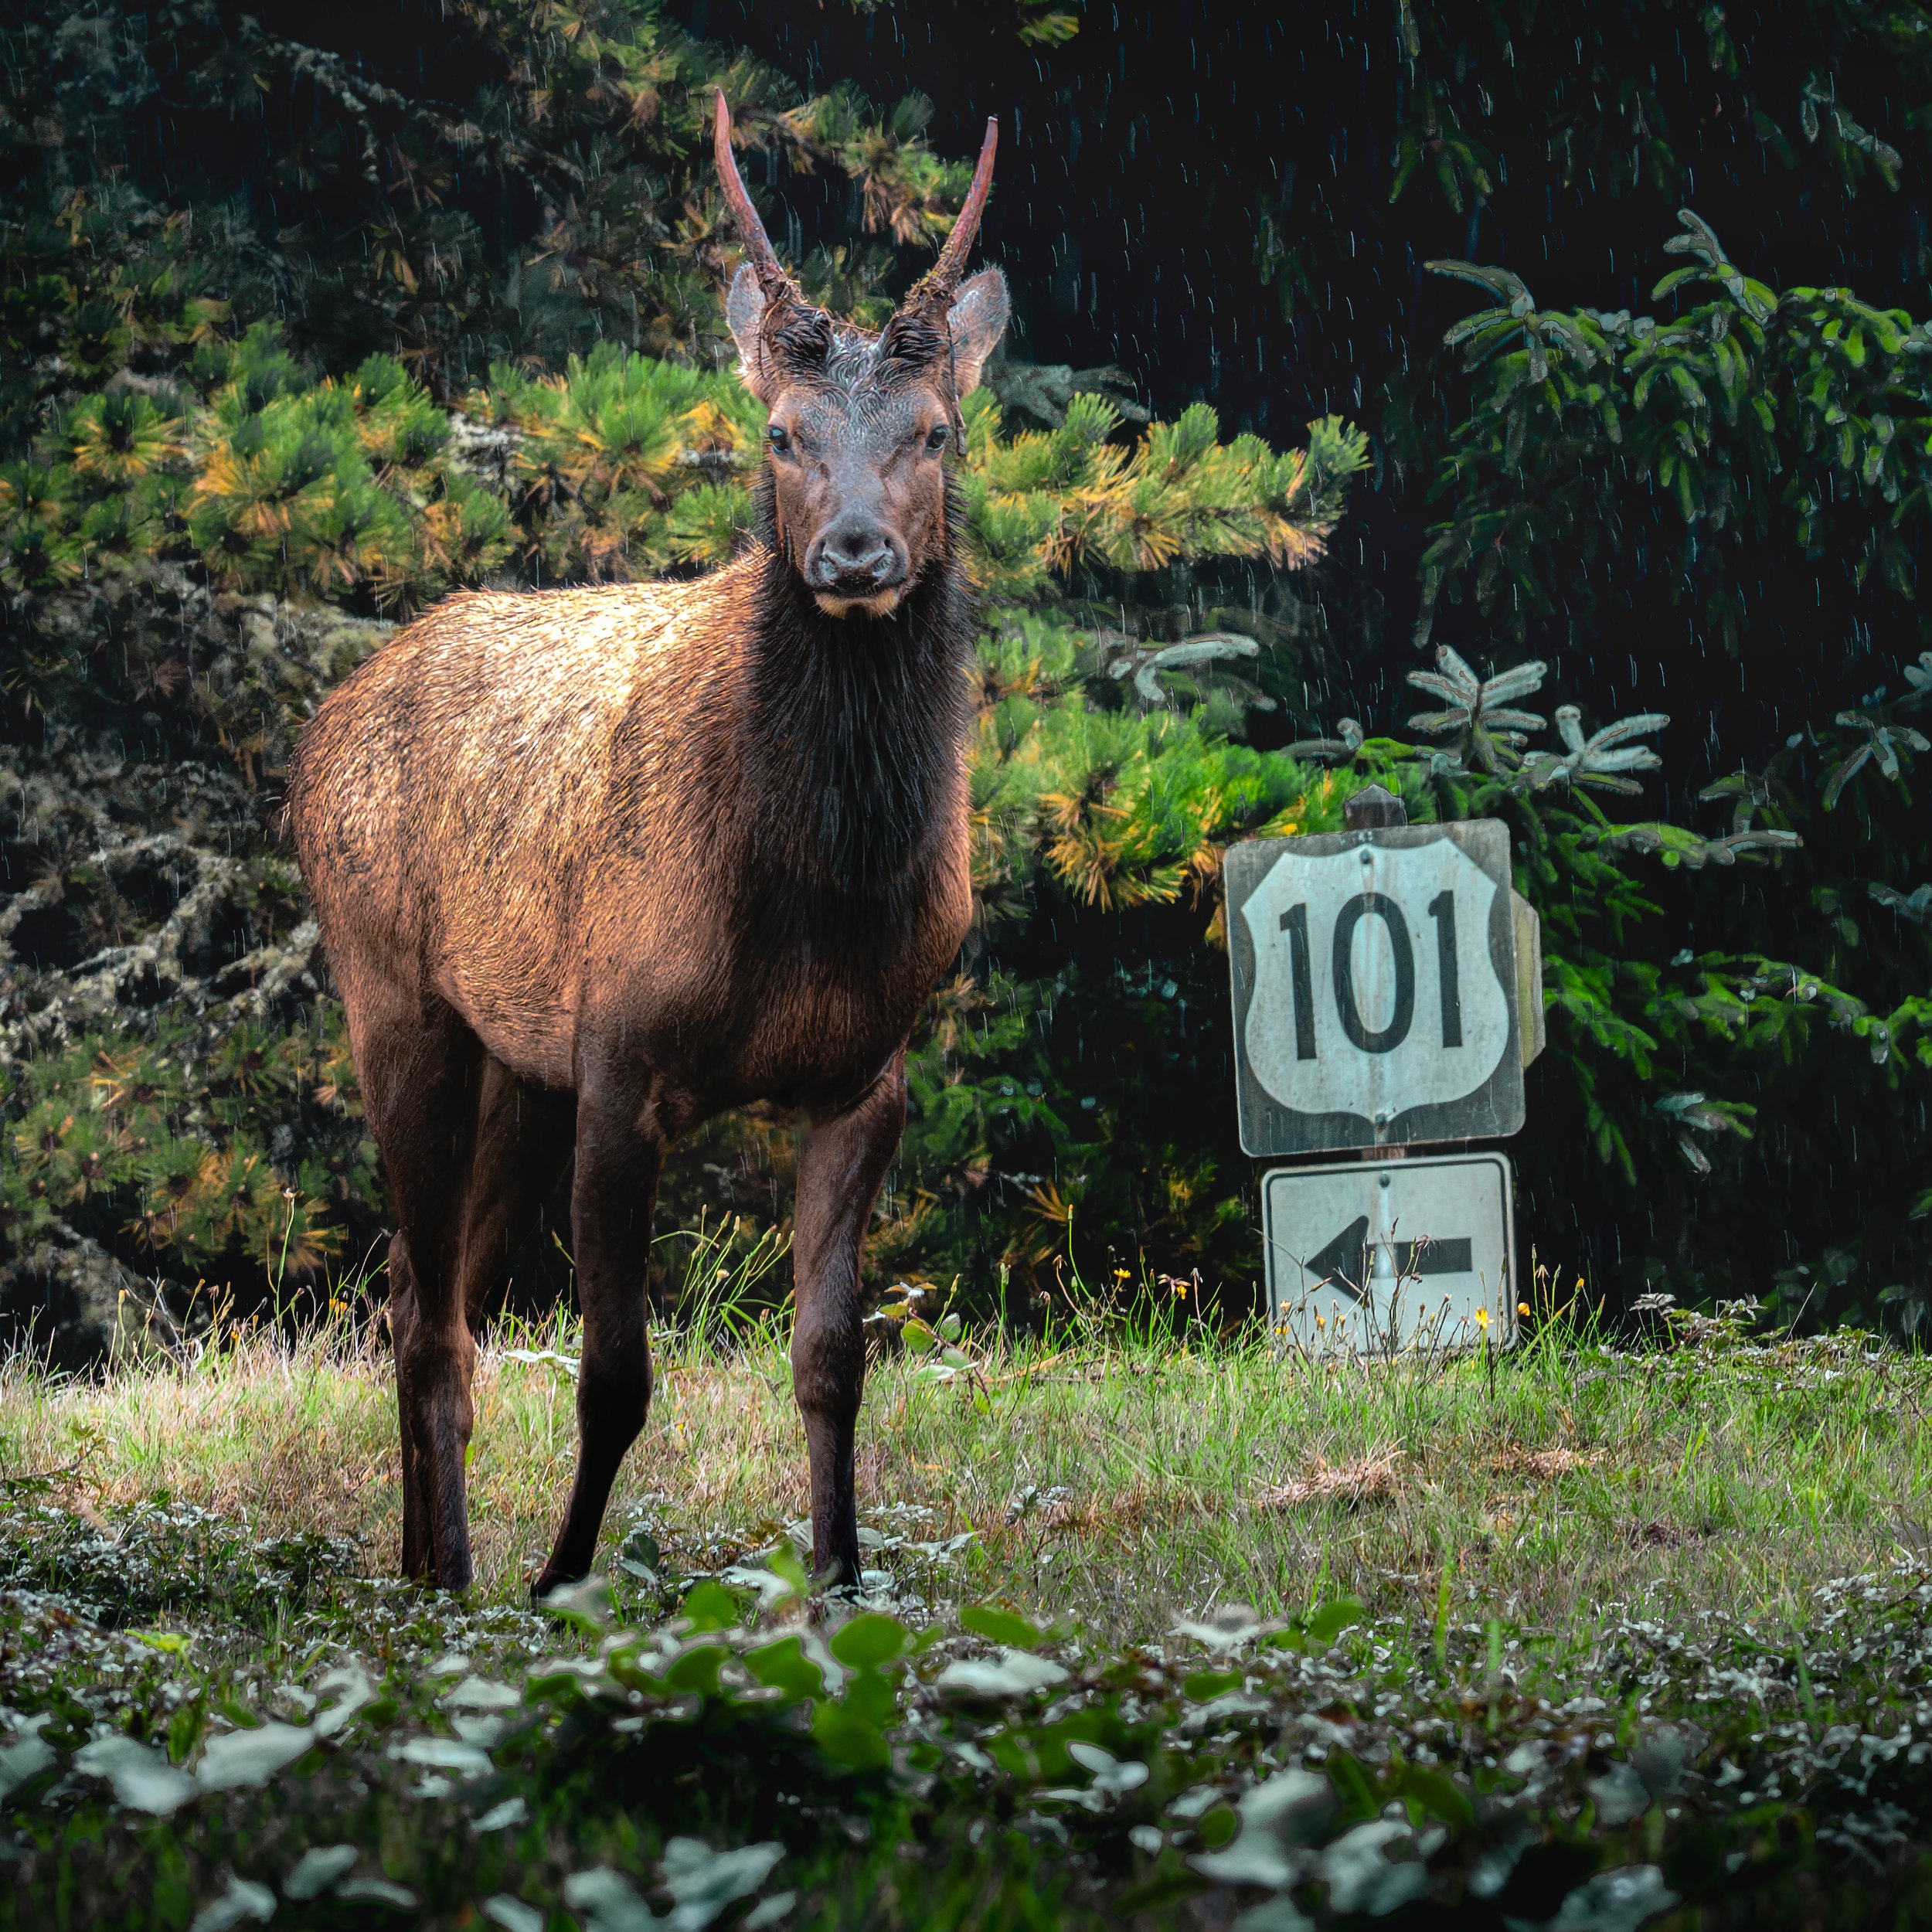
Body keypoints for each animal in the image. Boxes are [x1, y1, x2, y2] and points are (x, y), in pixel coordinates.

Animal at [285, 94, 1007, 1596]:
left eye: (936, 431)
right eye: (782, 433)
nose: (857, 554)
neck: (818, 889)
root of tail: (317, 732)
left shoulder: (867, 1077)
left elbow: (831, 1361)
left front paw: (841, 1581)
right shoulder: (622, 1054)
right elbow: (614, 1376)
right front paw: (563, 1585)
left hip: (516, 1064)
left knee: (417, 1291)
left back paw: (422, 1567)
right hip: (393, 995)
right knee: (428, 1311)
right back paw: (452, 1581)